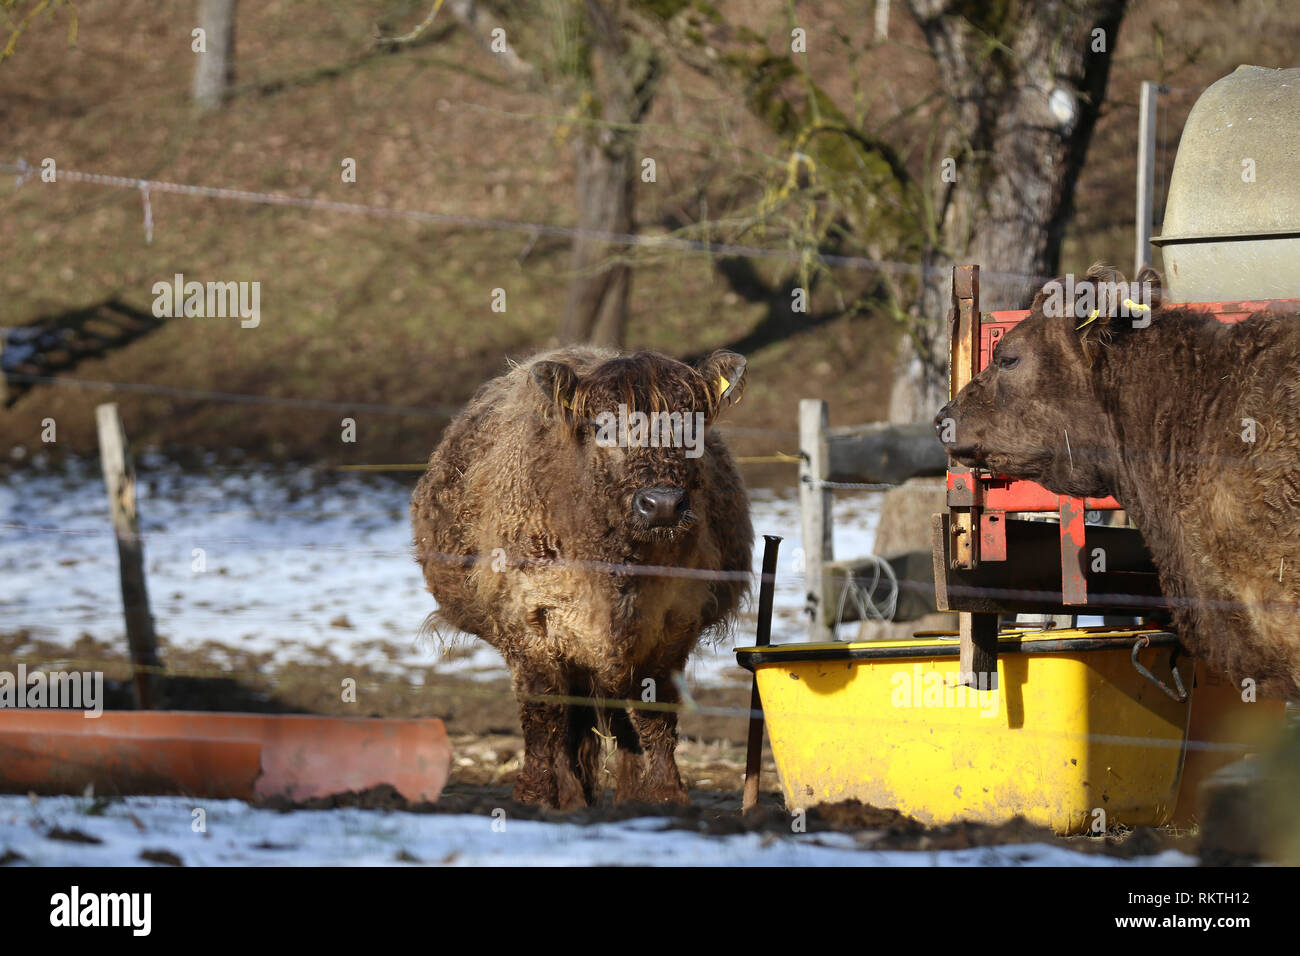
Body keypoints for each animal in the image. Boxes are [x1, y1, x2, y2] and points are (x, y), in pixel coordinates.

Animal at [410, 345, 759, 806]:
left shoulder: (674, 622)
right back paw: (573, 795)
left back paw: (624, 793)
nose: (663, 504)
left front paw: (666, 794)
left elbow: (655, 711)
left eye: (693, 426)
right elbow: (543, 713)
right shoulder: (530, 620)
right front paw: (537, 797)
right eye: (602, 428)